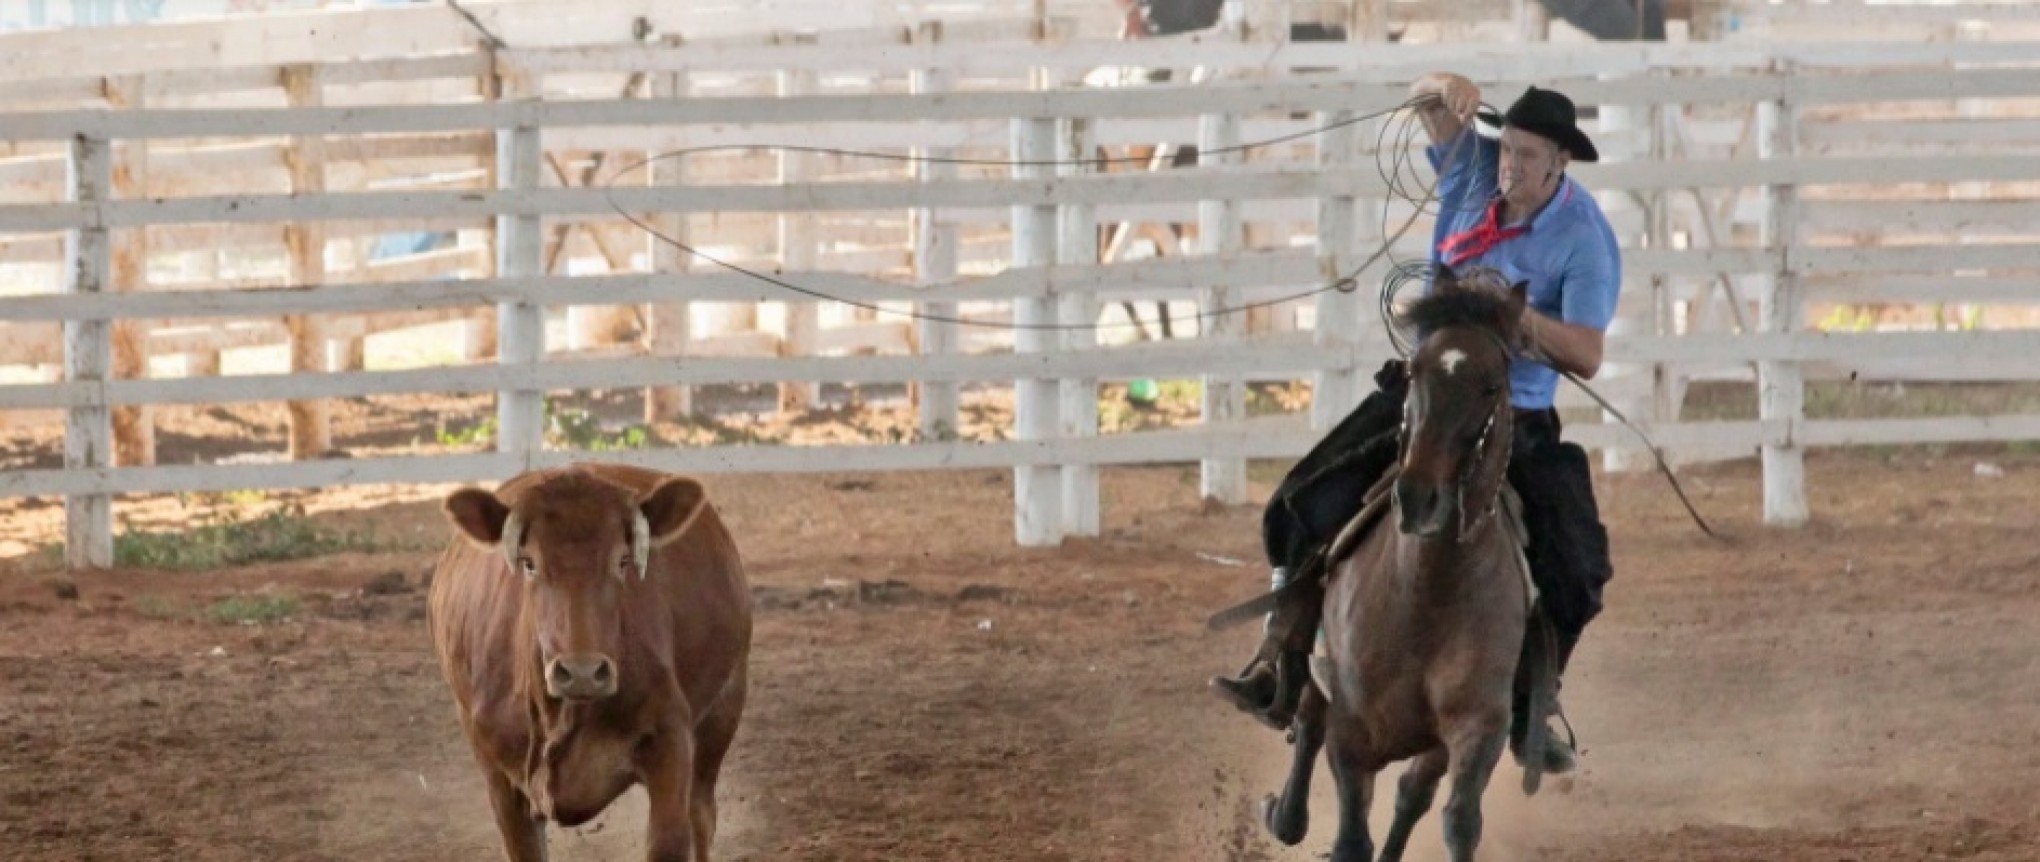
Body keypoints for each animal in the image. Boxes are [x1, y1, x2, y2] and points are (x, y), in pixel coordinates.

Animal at [428, 466, 750, 862]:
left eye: (623, 562)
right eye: (529, 563)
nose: (582, 673)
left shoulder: (671, 741)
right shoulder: (501, 779)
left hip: (723, 710)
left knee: (701, 815)